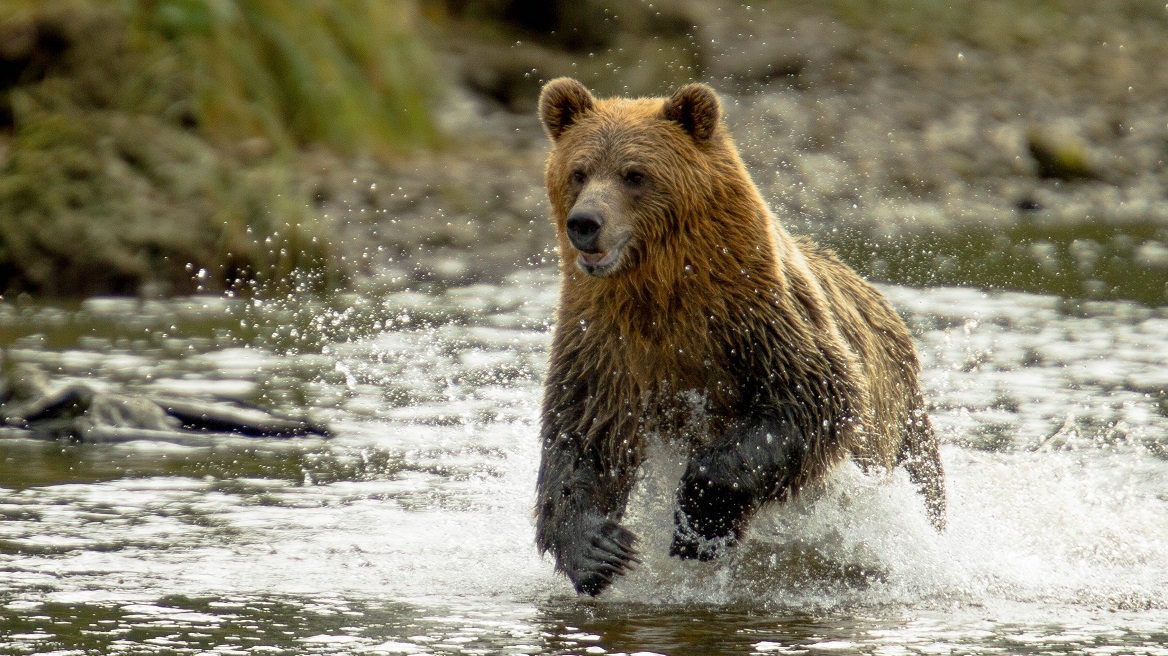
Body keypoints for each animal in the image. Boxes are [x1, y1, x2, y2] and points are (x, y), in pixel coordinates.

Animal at [534, 79, 943, 595]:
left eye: (634, 174)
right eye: (579, 171)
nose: (585, 223)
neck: (662, 292)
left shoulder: (758, 316)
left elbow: (811, 400)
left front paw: (697, 524)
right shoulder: (603, 341)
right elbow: (584, 435)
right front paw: (600, 549)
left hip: (904, 428)